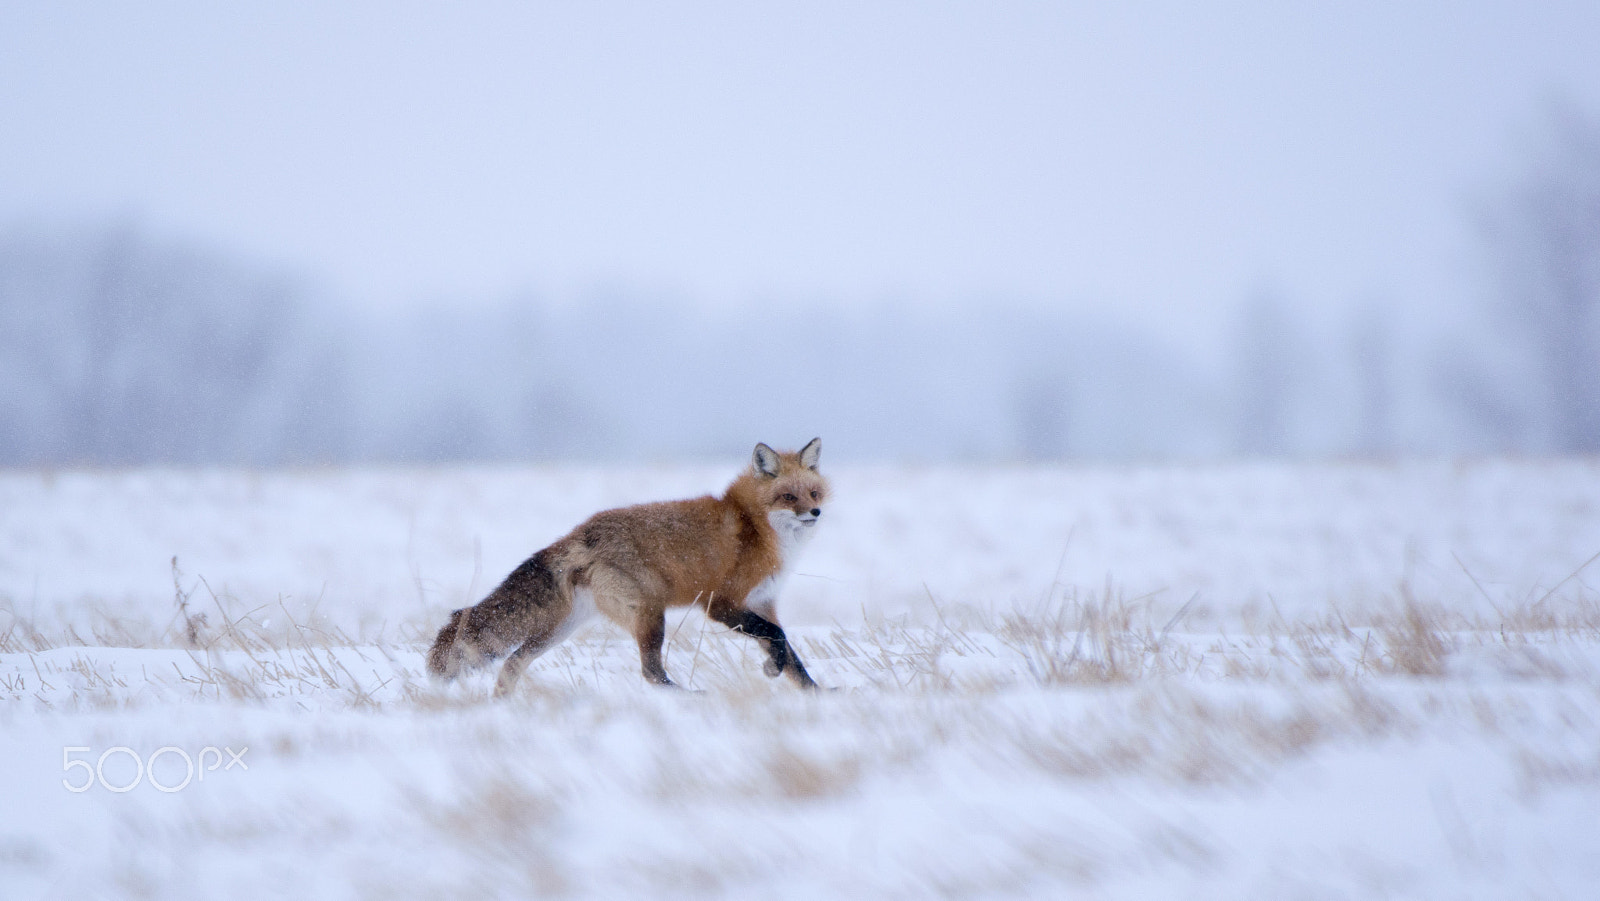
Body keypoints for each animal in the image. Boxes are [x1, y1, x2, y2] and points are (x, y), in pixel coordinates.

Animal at [426, 438, 829, 696]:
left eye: (814, 493)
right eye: (787, 497)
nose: (815, 512)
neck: (755, 527)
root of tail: (580, 532)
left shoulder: (762, 601)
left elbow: (789, 651)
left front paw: (816, 692)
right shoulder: (721, 603)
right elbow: (776, 639)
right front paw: (773, 671)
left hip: (562, 629)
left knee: (513, 662)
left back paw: (502, 703)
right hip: (650, 614)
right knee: (651, 673)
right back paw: (689, 696)